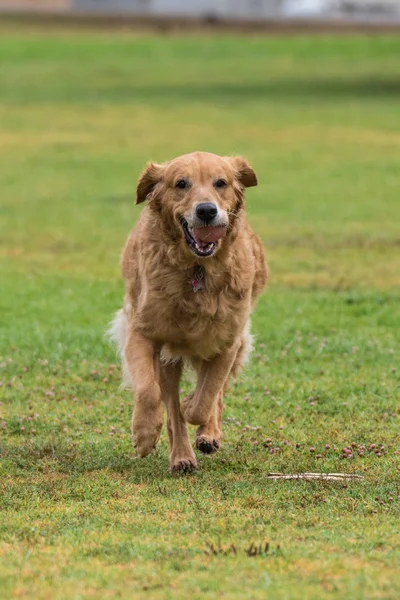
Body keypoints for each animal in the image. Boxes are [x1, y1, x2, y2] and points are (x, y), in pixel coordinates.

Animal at [109, 151, 268, 474]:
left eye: (221, 183)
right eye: (181, 184)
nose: (206, 211)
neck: (198, 270)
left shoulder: (228, 342)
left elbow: (206, 399)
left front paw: (197, 413)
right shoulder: (141, 333)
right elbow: (149, 391)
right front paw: (144, 433)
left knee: (213, 397)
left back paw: (208, 435)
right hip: (167, 361)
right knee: (170, 406)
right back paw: (181, 456)